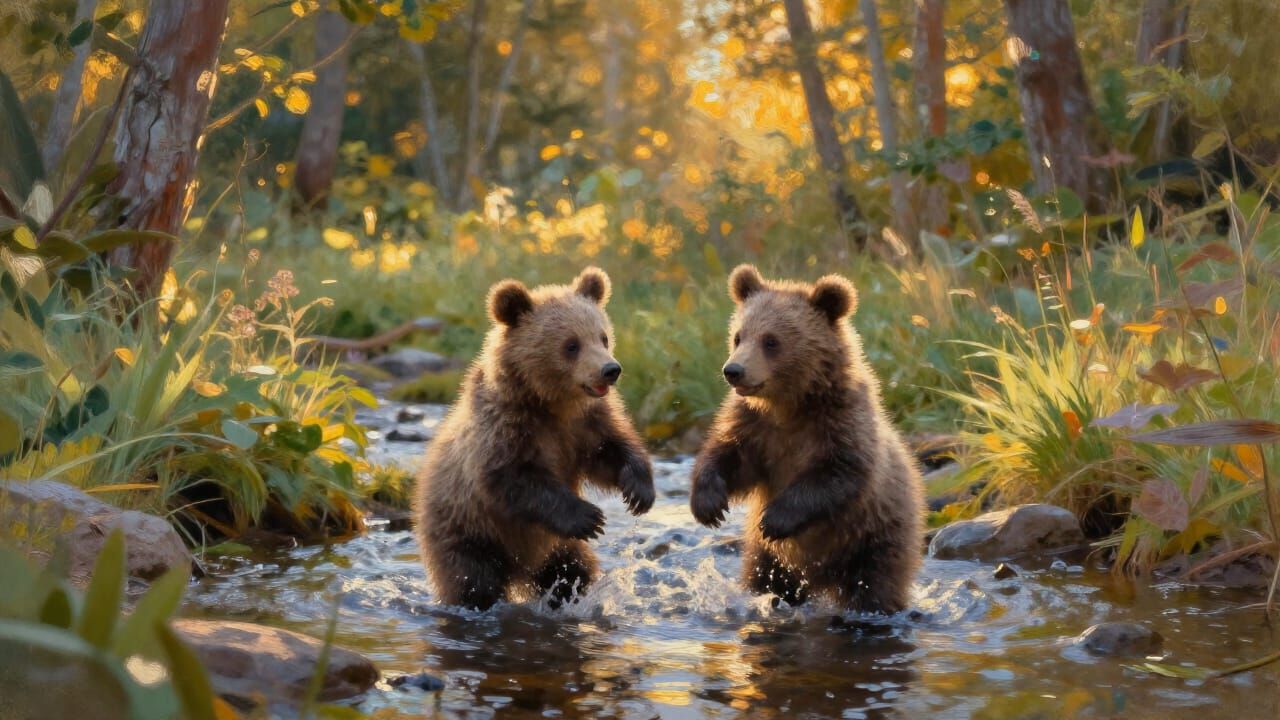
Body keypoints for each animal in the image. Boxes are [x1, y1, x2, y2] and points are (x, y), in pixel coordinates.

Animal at [415, 267, 655, 610]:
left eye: (603, 336)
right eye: (571, 344)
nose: (610, 370)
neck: (550, 402)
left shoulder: (584, 425)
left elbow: (610, 450)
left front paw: (639, 491)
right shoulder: (505, 426)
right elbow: (511, 478)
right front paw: (590, 516)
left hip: (557, 548)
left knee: (572, 572)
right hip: (467, 531)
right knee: (472, 580)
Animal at [689, 265, 924, 614]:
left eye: (771, 341)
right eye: (738, 336)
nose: (734, 370)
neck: (791, 405)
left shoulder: (840, 424)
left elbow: (839, 474)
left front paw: (774, 518)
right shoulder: (756, 429)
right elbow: (730, 456)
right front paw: (708, 504)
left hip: (875, 539)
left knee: (875, 585)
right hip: (768, 558)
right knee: (764, 580)